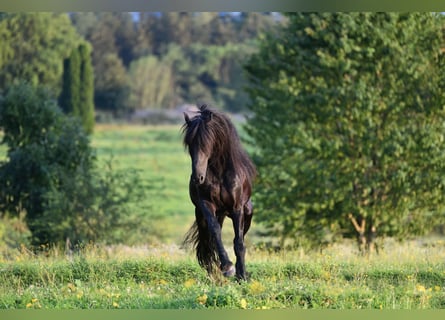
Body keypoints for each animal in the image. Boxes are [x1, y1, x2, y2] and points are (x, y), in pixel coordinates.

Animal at [181, 104, 256, 280]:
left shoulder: (237, 208)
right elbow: (215, 233)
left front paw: (242, 275)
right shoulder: (206, 205)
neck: (220, 173)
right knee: (207, 241)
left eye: (206, 142)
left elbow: (239, 242)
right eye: (189, 144)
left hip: (247, 213)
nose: (197, 177)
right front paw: (227, 267)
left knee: (240, 238)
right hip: (204, 215)